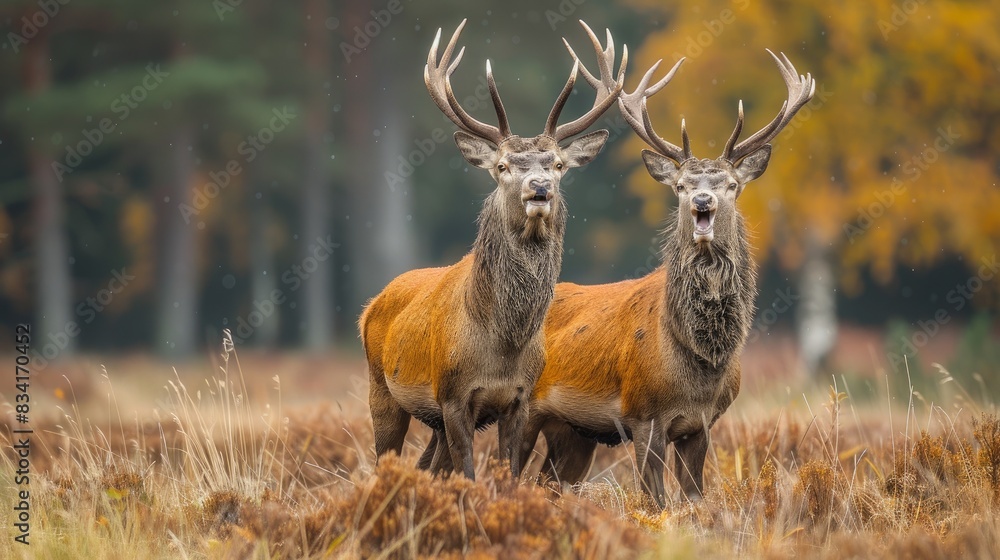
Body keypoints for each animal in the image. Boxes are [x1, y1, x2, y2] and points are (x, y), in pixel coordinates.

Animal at [360, 19, 625, 480]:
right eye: (502, 166)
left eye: (558, 165)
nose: (539, 188)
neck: (503, 346)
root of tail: (371, 305)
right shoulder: (453, 396)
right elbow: (468, 473)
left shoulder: (519, 399)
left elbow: (510, 474)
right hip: (382, 388)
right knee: (386, 459)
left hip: (430, 419)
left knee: (429, 464)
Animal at [519, 50, 815, 508]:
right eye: (680, 185)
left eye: (732, 184)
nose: (702, 201)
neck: (698, 369)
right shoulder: (644, 416)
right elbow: (655, 500)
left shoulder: (702, 424)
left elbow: (694, 498)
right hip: (523, 409)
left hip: (572, 432)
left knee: (546, 484)